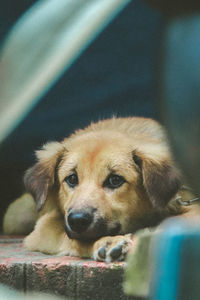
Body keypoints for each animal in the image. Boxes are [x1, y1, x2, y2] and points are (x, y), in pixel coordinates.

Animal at [3, 117, 197, 262]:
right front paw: (108, 241)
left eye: (115, 180)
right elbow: (75, 239)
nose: (77, 220)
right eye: (71, 179)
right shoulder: (44, 228)